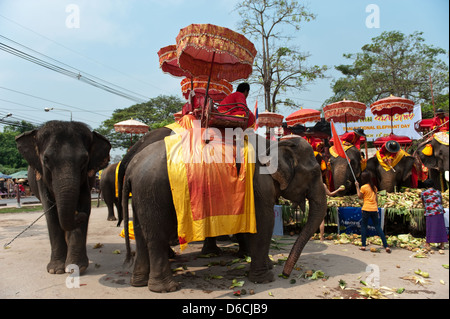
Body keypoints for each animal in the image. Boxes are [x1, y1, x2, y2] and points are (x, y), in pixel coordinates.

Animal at [16, 120, 111, 276]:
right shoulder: (41, 177)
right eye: (46, 159)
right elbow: (51, 213)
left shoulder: (86, 179)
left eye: (85, 160)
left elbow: (85, 204)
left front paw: (76, 267)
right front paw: (56, 270)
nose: (79, 216)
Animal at [122, 134, 326, 294]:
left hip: (142, 194)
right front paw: (265, 278)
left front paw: (266, 265)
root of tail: (130, 168)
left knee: (141, 234)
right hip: (153, 191)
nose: (286, 273)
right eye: (315, 172)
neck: (274, 142)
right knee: (156, 237)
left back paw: (139, 282)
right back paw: (166, 288)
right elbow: (263, 222)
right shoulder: (259, 183)